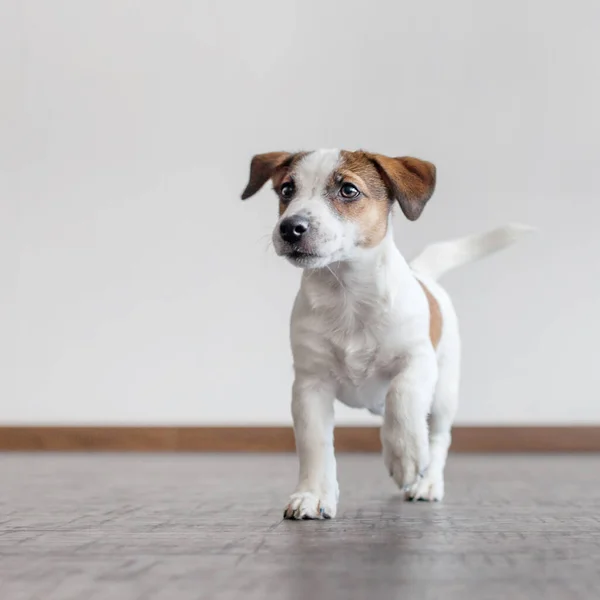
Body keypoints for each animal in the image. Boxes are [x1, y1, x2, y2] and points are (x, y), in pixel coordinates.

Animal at [241, 148, 532, 516]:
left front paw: (404, 456)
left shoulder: (418, 361)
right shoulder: (310, 385)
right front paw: (313, 494)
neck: (348, 295)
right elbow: (314, 444)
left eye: (348, 190)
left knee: (437, 436)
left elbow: (402, 396)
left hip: (443, 394)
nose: (290, 227)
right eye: (286, 190)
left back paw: (427, 481)